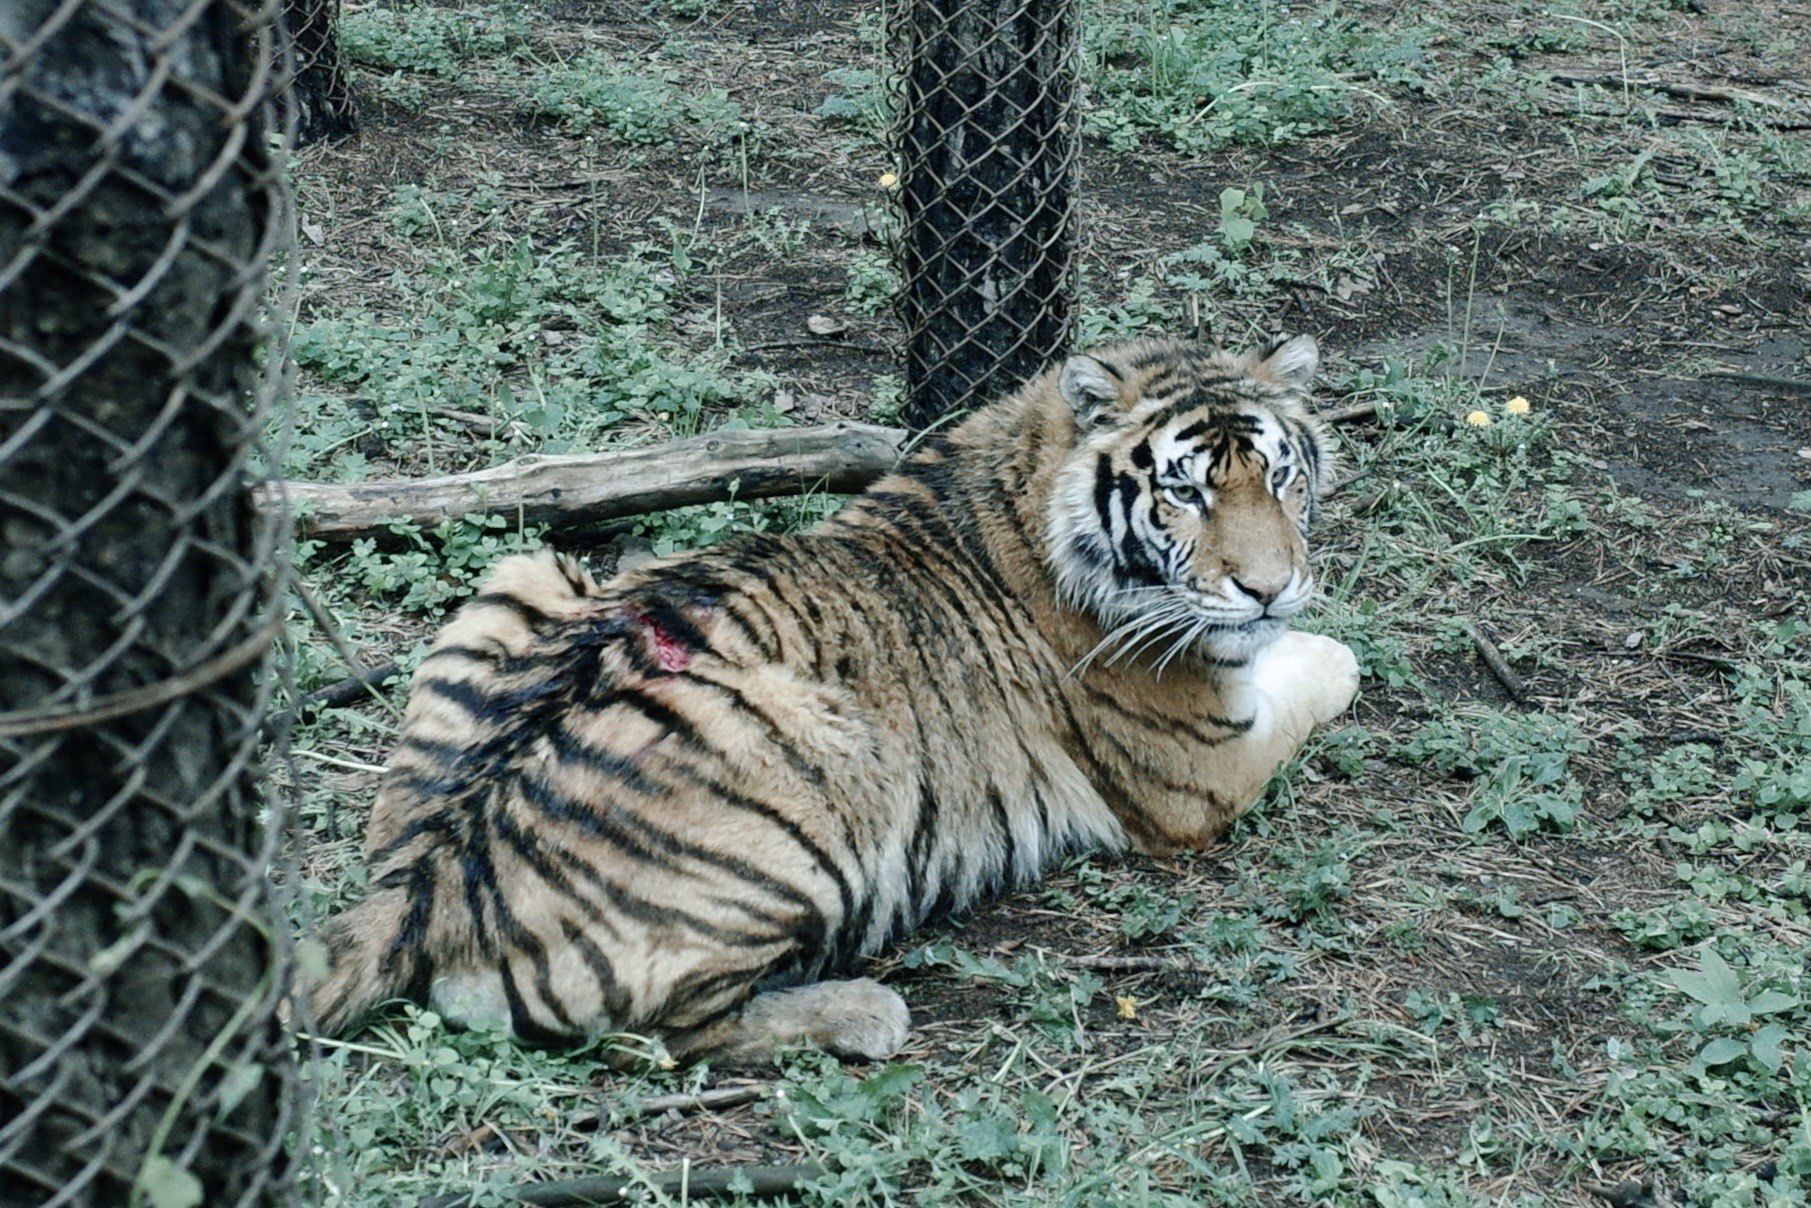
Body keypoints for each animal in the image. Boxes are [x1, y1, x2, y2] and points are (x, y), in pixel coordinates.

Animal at [307, 333, 1361, 1064]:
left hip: (522, 567)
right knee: (663, 1036)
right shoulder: (1201, 767)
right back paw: (863, 1014)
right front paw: (1319, 640)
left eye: (1279, 476)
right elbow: (1334, 662)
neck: (1031, 474)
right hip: (833, 757)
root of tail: (425, 880)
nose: (1269, 588)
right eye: (1185, 493)